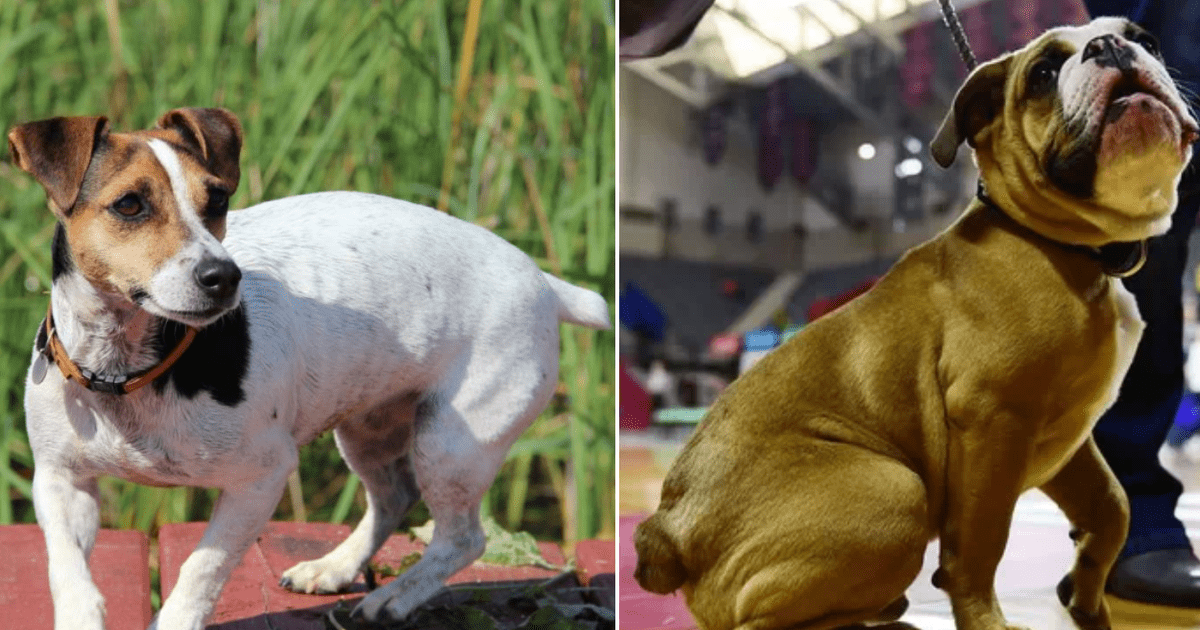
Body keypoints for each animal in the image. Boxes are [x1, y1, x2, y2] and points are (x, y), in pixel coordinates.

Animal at [7, 109, 609, 628]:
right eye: (130, 205)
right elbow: (68, 572)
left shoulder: (262, 478)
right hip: (370, 429)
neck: (126, 370)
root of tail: (546, 284)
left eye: (218, 199)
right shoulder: (61, 480)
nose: (224, 277)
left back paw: (394, 597)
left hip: (453, 442)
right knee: (392, 498)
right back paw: (336, 567)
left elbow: (200, 570)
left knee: (463, 538)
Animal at [633, 17, 1195, 628]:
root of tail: (669, 531)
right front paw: (988, 620)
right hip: (893, 490)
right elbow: (978, 548)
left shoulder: (1069, 440)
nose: (1111, 46)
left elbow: (1113, 508)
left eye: (1146, 39)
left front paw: (1086, 594)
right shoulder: (995, 422)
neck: (1065, 247)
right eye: (1044, 73)